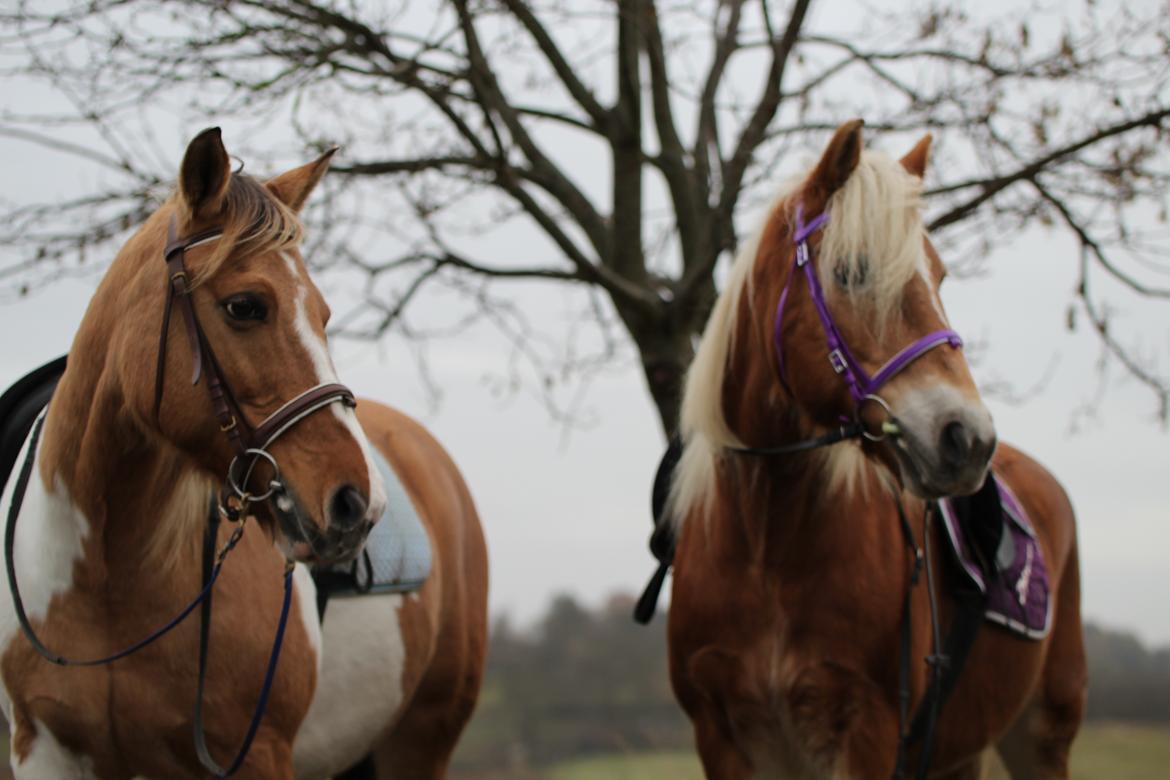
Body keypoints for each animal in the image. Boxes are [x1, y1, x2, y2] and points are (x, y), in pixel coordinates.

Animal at [0, 130, 484, 776]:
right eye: (245, 305)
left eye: (323, 314)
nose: (359, 503)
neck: (109, 578)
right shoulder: (45, 748)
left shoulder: (255, 751)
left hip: (422, 737)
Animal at [669, 119, 1085, 776]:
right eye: (852, 272)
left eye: (938, 279)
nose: (969, 440)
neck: (765, 546)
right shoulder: (721, 738)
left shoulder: (867, 732)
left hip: (1043, 735)